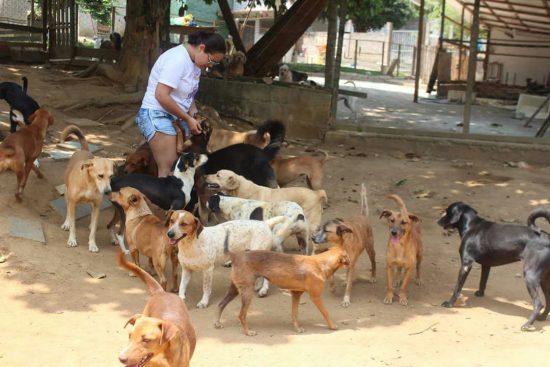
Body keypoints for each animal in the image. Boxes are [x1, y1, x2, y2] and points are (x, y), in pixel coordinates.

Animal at [217, 233, 352, 336]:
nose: (351, 262)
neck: (321, 264)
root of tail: (236, 255)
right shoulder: (316, 297)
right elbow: (326, 313)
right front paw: (332, 326)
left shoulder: (296, 294)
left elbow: (294, 314)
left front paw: (297, 328)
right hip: (247, 293)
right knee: (241, 315)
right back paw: (248, 332)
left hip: (234, 289)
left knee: (220, 304)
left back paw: (218, 323)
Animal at [440, 203, 550, 332]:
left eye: (448, 211)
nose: (438, 221)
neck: (471, 225)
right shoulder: (486, 265)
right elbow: (483, 281)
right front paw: (480, 293)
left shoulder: (466, 264)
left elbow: (457, 288)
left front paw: (449, 304)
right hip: (544, 280)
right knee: (548, 300)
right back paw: (542, 317)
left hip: (530, 276)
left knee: (538, 303)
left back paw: (527, 324)